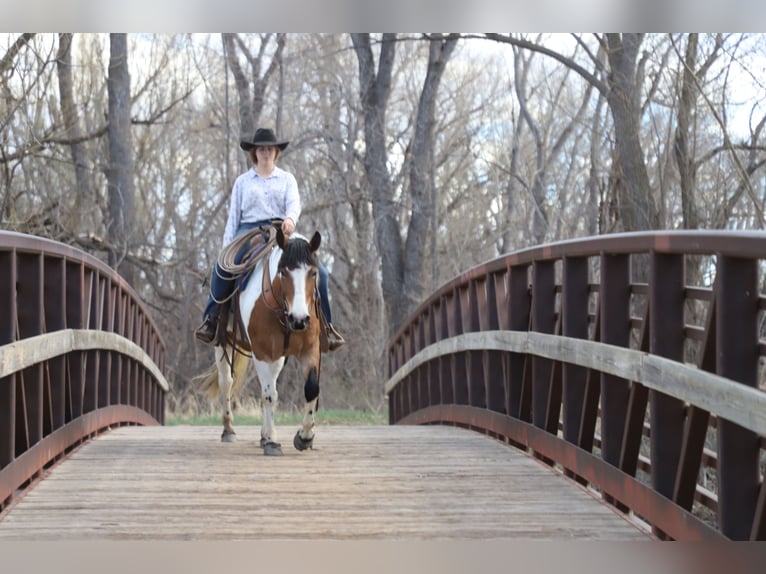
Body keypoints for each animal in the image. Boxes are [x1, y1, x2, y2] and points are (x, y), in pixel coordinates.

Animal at [198, 226, 323, 456]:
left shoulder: (309, 350)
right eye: (283, 272)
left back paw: (263, 436)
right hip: (223, 345)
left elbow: (311, 389)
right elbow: (269, 396)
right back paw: (229, 430)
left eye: (313, 273)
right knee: (227, 383)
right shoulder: (263, 353)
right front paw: (273, 442)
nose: (300, 319)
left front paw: (304, 437)